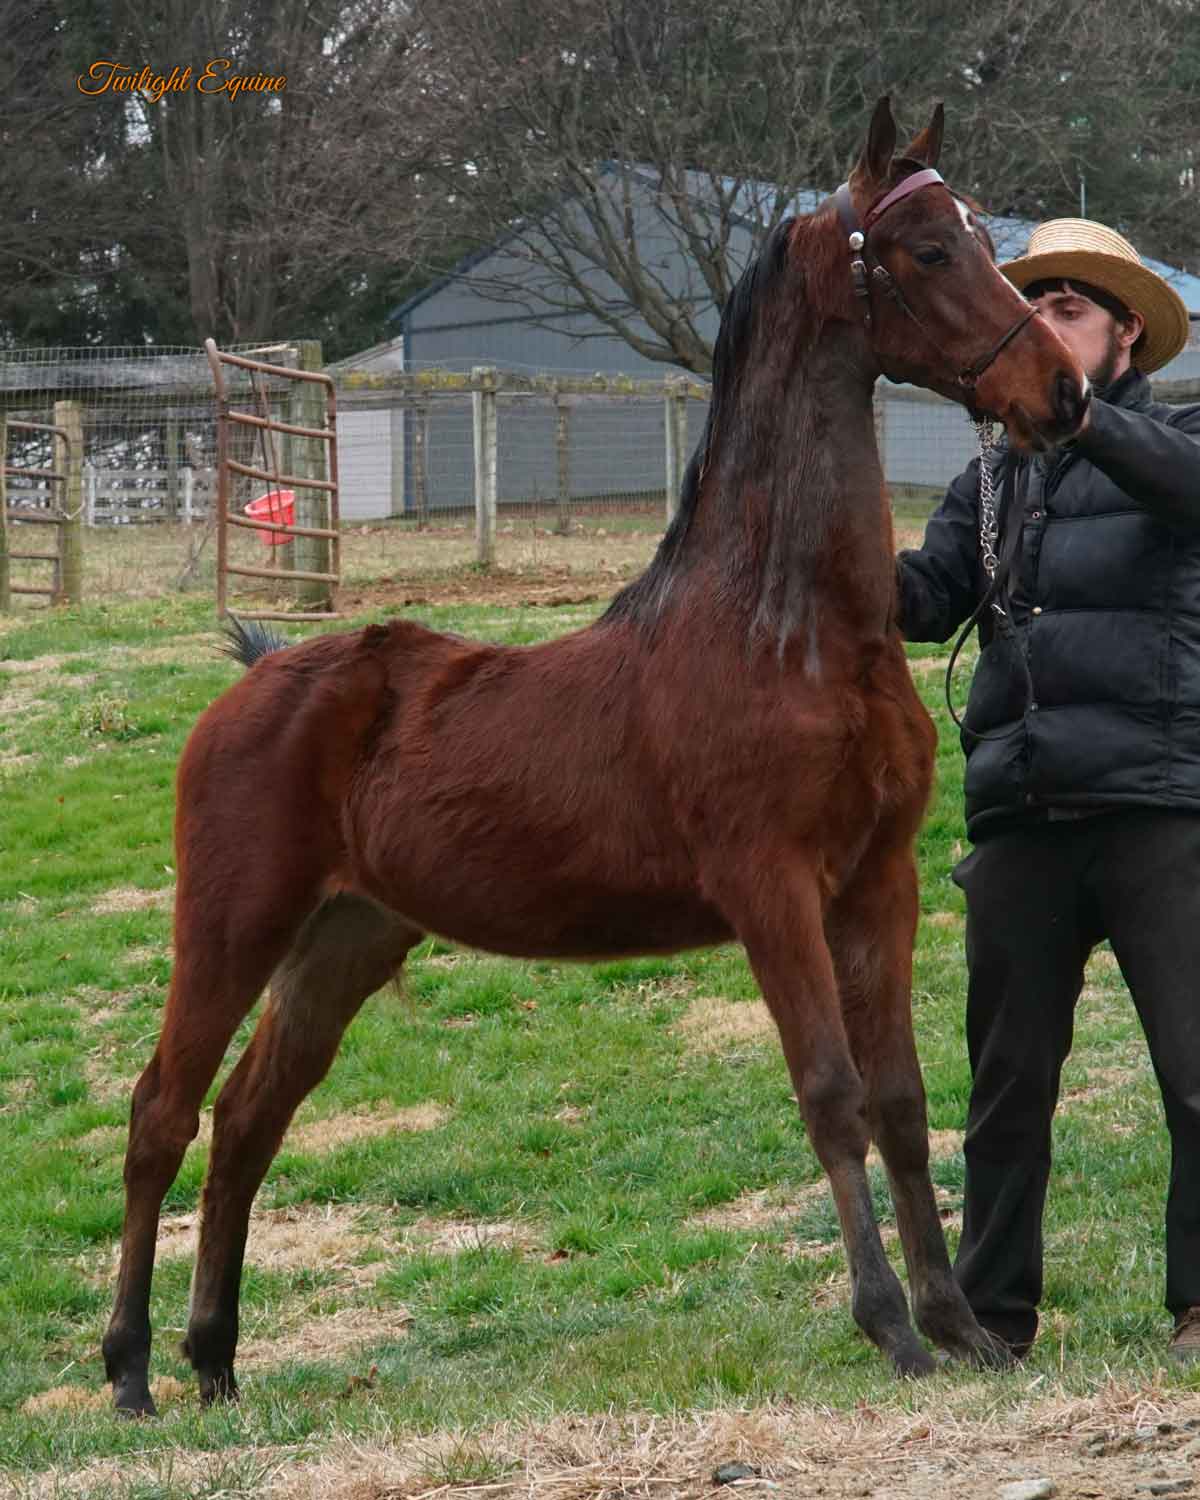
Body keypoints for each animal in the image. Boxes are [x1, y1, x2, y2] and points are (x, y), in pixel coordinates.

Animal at [102, 98, 1088, 1415]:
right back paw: (129, 1369)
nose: (1064, 394)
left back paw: (215, 1359)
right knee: (161, 1112)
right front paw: (890, 1326)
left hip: (343, 939)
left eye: (985, 236)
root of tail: (254, 672)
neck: (790, 633)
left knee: (249, 1118)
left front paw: (961, 1326)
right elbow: (830, 1095)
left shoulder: (880, 883)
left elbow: (901, 1097)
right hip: (232, 924)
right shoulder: (772, 888)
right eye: (930, 249)